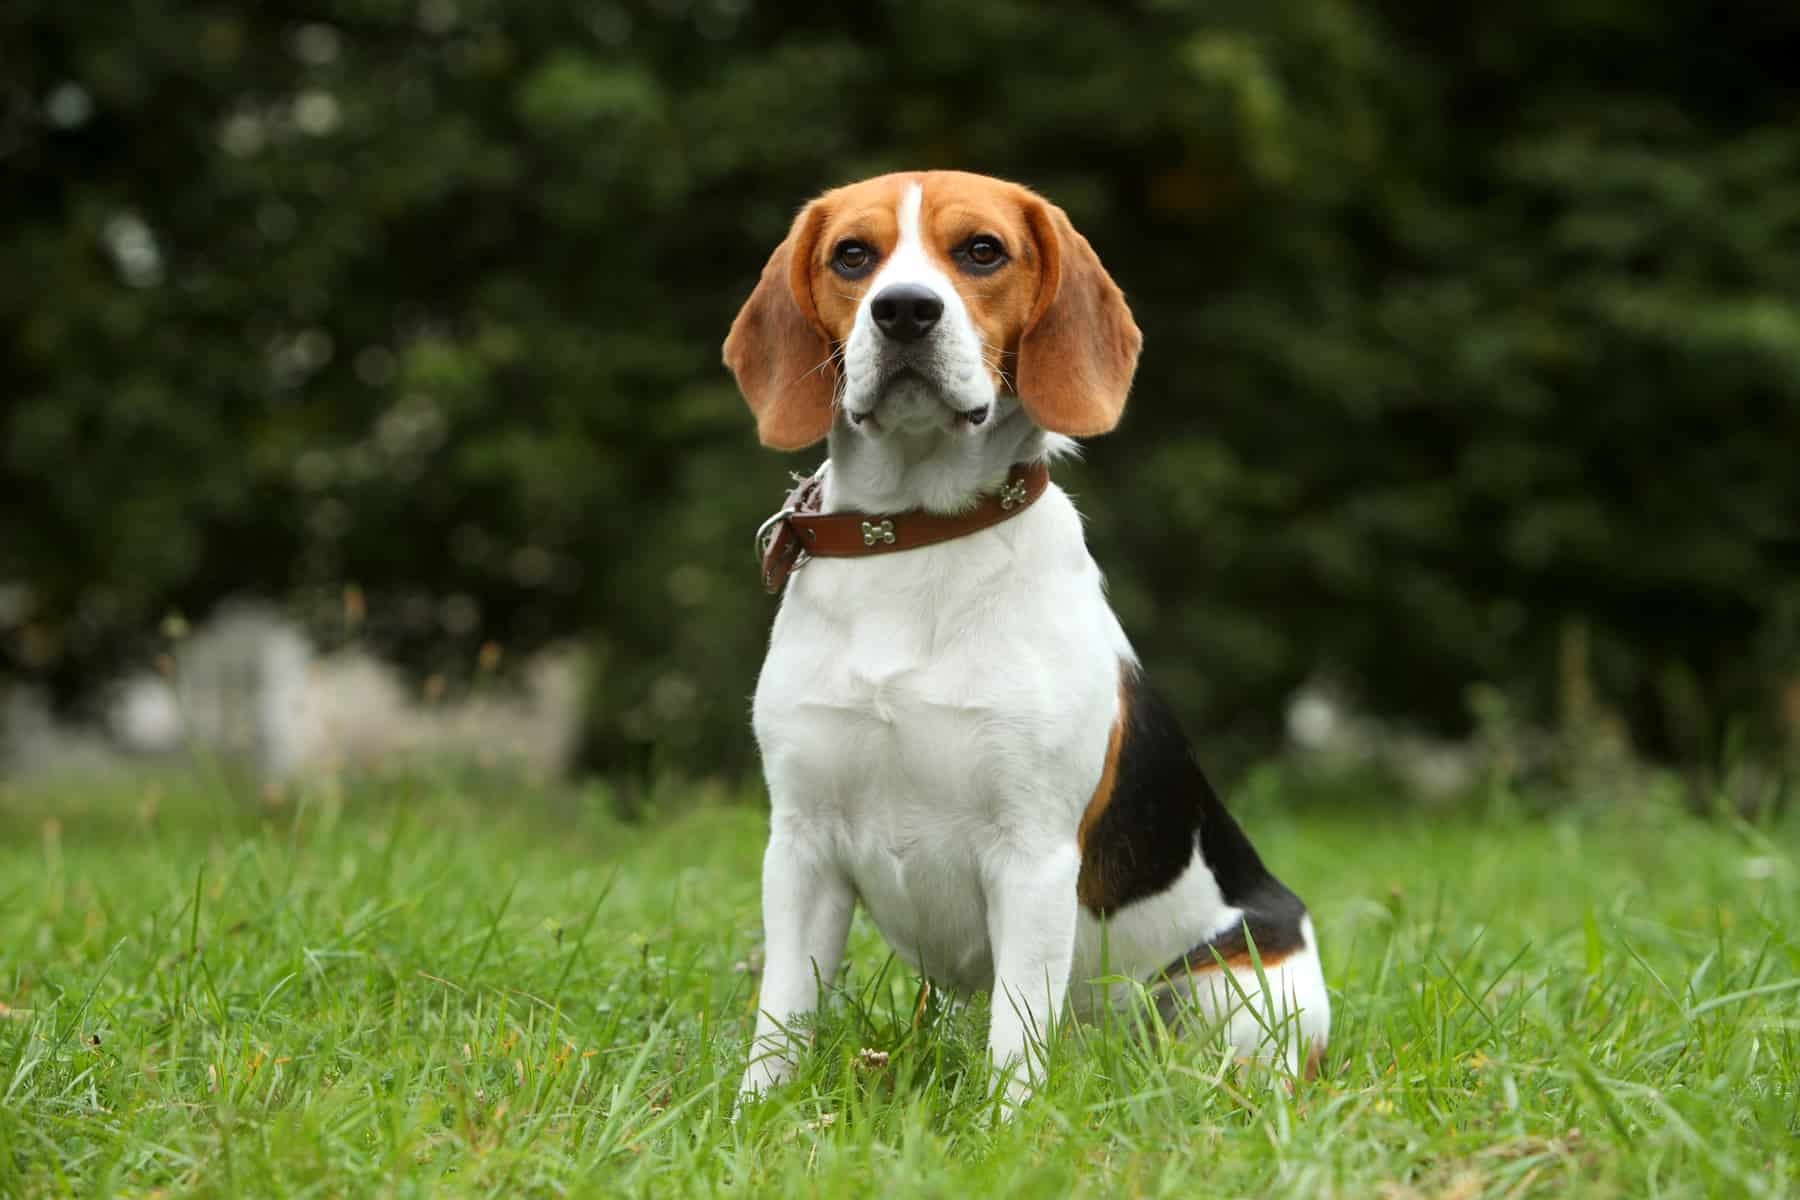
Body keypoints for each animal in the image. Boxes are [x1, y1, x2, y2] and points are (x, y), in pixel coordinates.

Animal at [723, 169, 1332, 1108]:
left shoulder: (1034, 854)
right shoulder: (800, 847)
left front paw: (1007, 1126)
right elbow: (784, 1015)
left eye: (982, 250)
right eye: (852, 255)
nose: (904, 311)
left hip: (1241, 992)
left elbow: (1017, 1030)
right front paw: (759, 1115)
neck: (917, 536)